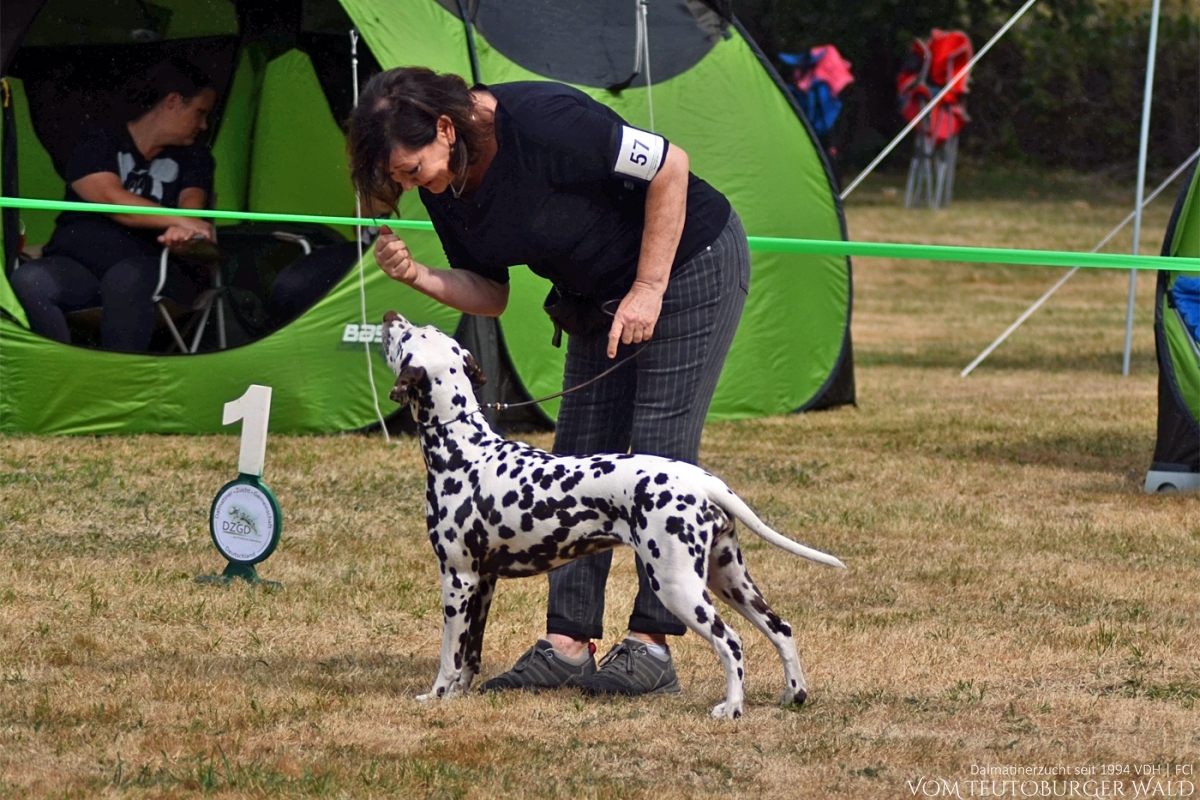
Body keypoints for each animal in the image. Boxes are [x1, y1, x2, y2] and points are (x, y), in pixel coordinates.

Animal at [381, 309, 844, 719]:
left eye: (407, 337)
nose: (389, 316)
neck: (465, 450)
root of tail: (701, 479)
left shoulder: (457, 580)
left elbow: (449, 656)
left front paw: (436, 696)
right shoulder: (484, 582)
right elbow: (470, 655)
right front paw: (459, 695)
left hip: (679, 589)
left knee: (731, 642)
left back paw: (731, 708)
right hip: (729, 580)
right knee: (781, 629)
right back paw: (794, 695)